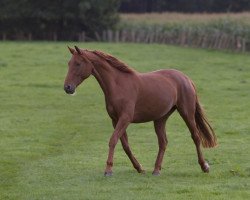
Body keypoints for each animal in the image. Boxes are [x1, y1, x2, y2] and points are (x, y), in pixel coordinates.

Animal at [64, 45, 217, 177]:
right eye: (69, 63)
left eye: (78, 63)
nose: (67, 88)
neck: (118, 85)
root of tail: (186, 78)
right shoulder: (116, 120)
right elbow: (125, 145)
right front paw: (139, 168)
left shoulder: (125, 118)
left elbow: (113, 140)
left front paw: (108, 170)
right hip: (160, 119)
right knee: (163, 142)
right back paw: (156, 170)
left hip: (186, 113)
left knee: (195, 136)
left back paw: (204, 166)